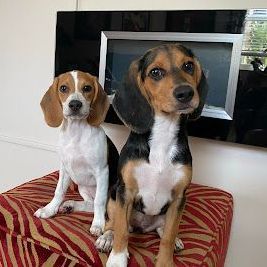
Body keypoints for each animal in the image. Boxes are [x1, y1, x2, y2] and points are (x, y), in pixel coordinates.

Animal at [34, 70, 119, 237]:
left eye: (87, 88)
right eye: (63, 88)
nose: (75, 104)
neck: (76, 132)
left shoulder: (102, 172)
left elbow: (100, 200)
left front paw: (98, 224)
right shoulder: (64, 169)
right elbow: (59, 191)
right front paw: (49, 209)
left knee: (101, 206)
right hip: (82, 187)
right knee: (90, 204)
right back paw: (71, 205)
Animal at [96, 43, 209, 266]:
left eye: (188, 66)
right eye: (155, 72)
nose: (186, 93)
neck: (163, 132)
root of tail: (143, 225)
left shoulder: (179, 198)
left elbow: (168, 237)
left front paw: (165, 260)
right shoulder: (126, 192)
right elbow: (122, 231)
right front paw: (117, 259)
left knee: (162, 229)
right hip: (114, 196)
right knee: (114, 224)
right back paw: (107, 238)